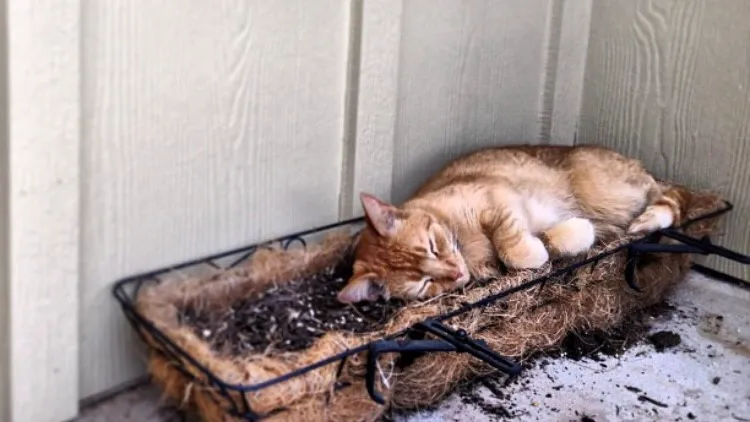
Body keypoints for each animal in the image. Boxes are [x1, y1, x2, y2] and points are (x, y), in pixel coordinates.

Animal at [338, 145, 692, 304]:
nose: (455, 273)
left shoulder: (496, 198)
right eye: (426, 284)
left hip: (604, 191)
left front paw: (536, 249)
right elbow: (548, 242)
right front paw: (567, 236)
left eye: (433, 247)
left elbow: (512, 246)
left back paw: (648, 219)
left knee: (672, 195)